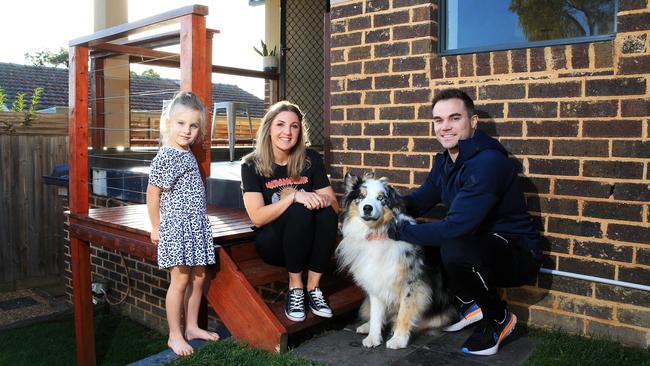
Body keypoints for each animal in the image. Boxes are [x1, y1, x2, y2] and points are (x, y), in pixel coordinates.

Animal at [334, 173, 450, 350]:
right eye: (361, 196)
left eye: (381, 198)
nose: (367, 208)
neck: (376, 230)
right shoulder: (376, 279)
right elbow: (376, 314)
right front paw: (373, 337)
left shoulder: (412, 283)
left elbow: (405, 312)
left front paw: (399, 339)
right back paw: (366, 326)